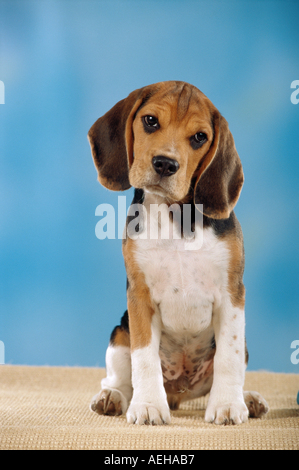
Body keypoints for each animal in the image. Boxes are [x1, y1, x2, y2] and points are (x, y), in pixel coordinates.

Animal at [88, 81, 270, 426]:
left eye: (199, 137)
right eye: (150, 121)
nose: (165, 164)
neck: (175, 218)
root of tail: (178, 393)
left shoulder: (232, 295)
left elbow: (228, 357)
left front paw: (228, 404)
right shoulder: (139, 297)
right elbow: (144, 357)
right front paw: (148, 405)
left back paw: (248, 398)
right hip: (119, 335)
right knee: (120, 378)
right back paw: (112, 397)